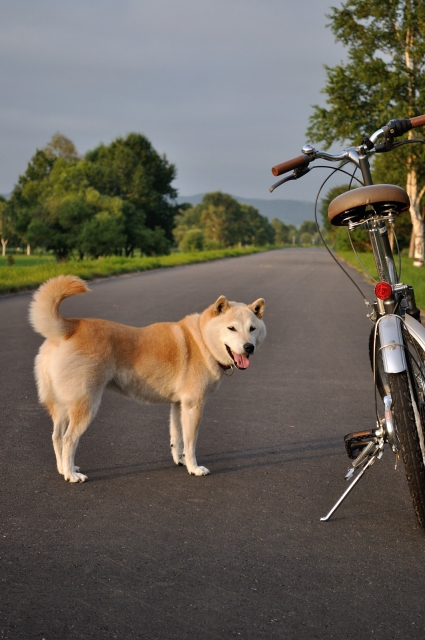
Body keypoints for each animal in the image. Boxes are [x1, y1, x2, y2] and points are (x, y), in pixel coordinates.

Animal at [29, 274, 264, 480]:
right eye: (231, 328)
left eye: (252, 328)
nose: (248, 347)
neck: (201, 341)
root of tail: (69, 327)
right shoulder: (193, 405)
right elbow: (191, 442)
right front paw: (194, 468)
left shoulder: (178, 405)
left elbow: (177, 438)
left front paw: (180, 460)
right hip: (85, 406)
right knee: (69, 439)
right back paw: (71, 475)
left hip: (62, 406)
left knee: (57, 437)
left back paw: (63, 469)